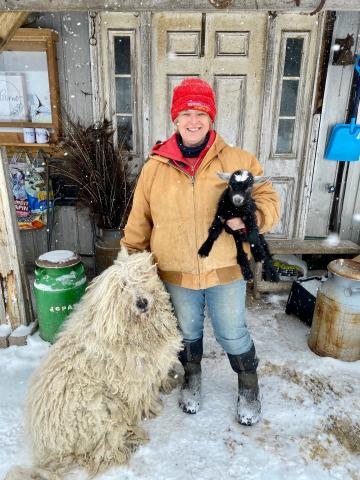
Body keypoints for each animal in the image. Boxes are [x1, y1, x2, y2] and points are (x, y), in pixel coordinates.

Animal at [6, 249, 183, 478]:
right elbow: (145, 396)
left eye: (142, 278)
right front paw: (155, 407)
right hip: (100, 409)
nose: (142, 302)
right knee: (102, 451)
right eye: (123, 287)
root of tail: (52, 453)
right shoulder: (135, 380)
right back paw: (130, 441)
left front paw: (169, 382)